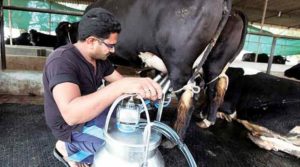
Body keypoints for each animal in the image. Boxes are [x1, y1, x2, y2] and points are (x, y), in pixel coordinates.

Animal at [57, 0, 247, 146]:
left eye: (59, 35)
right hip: (215, 63)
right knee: (216, 86)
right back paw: (207, 120)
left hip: (179, 63)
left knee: (188, 97)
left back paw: (173, 140)